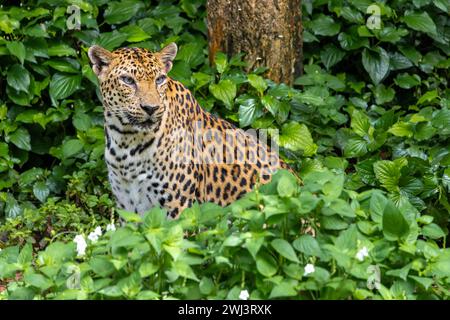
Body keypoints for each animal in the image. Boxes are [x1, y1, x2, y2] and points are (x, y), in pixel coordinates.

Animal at [89, 43, 298, 218]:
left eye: (159, 79)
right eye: (127, 80)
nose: (151, 108)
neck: (126, 140)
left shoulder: (178, 206)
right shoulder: (127, 207)